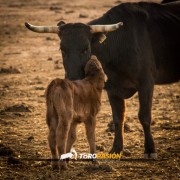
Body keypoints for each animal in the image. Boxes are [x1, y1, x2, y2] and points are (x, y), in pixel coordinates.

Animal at [25, 2, 180, 158]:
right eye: (62, 49)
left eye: (86, 48)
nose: (73, 79)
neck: (119, 47)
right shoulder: (113, 88)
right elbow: (118, 118)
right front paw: (116, 149)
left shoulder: (146, 83)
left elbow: (144, 116)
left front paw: (150, 150)